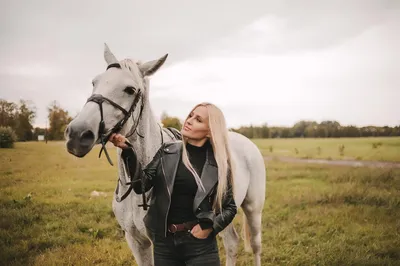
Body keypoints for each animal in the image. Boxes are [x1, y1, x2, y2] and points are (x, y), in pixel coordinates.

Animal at [65, 44, 266, 266]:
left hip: (253, 208)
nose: (77, 134)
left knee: (256, 246)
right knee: (231, 242)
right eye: (95, 82)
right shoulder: (135, 240)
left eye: (130, 90)